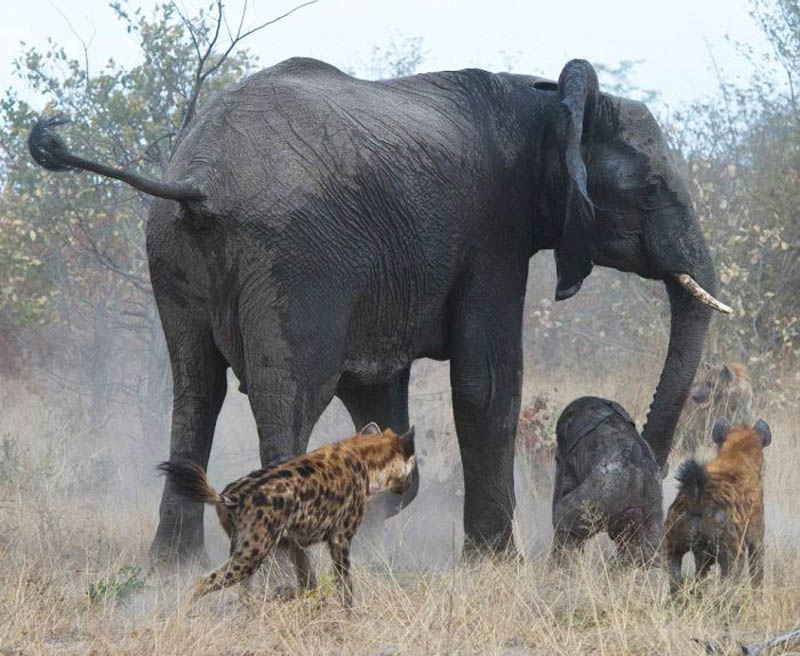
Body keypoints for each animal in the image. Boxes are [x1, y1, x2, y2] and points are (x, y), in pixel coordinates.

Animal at [552, 394, 664, 564]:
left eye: (556, 458)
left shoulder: (569, 454)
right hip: (652, 511)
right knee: (650, 551)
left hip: (598, 499)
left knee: (564, 523)